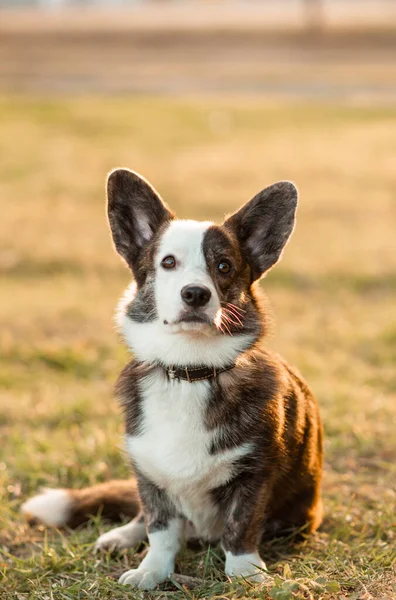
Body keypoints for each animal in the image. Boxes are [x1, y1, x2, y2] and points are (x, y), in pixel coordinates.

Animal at [23, 169, 324, 592]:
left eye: (224, 266)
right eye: (167, 262)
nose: (195, 294)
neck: (189, 372)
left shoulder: (254, 475)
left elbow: (241, 527)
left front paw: (246, 574)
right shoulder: (151, 476)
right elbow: (161, 529)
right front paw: (152, 571)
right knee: (141, 516)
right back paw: (122, 536)